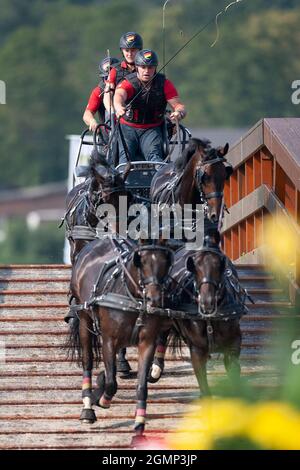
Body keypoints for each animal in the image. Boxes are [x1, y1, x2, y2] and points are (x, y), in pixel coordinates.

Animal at [66, 237, 173, 446]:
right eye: (141, 261)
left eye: (165, 262)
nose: (155, 299)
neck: (132, 299)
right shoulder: (109, 340)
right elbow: (111, 383)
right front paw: (102, 400)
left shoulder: (147, 343)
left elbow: (141, 387)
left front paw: (138, 429)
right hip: (84, 317)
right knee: (88, 361)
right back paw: (88, 407)